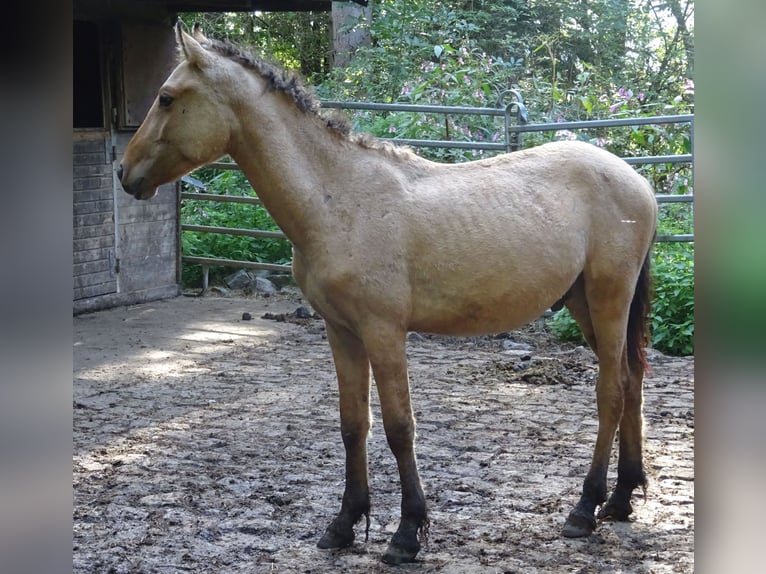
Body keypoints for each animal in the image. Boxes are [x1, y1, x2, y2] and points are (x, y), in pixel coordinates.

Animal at [119, 22, 658, 565]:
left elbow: (400, 427)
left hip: (609, 299)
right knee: (631, 381)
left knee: (611, 392)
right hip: (583, 303)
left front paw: (406, 532)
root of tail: (638, 180)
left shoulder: (384, 332)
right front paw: (344, 524)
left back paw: (585, 509)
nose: (125, 173)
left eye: (166, 98)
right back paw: (622, 498)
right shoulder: (340, 331)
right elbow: (353, 424)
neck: (337, 199)